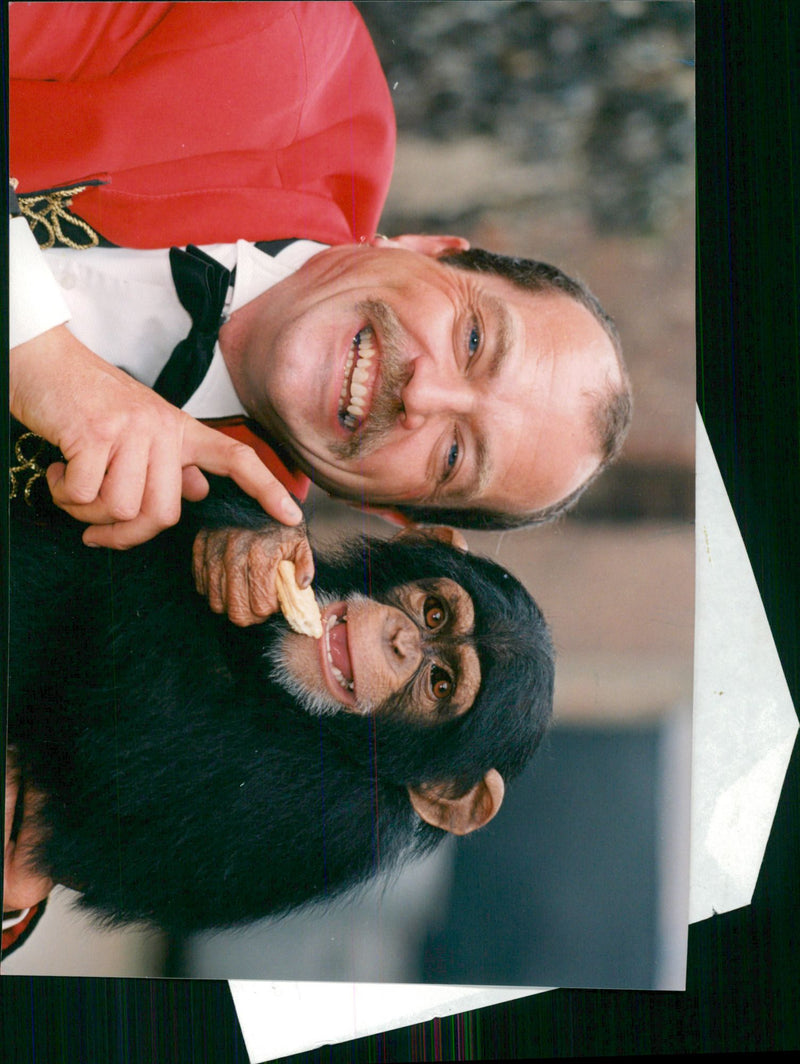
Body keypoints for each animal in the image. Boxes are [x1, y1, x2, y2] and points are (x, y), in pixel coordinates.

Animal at [6, 474, 553, 932]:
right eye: (434, 613)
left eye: (441, 684)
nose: (400, 640)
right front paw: (248, 543)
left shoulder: (321, 813)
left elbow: (120, 761)